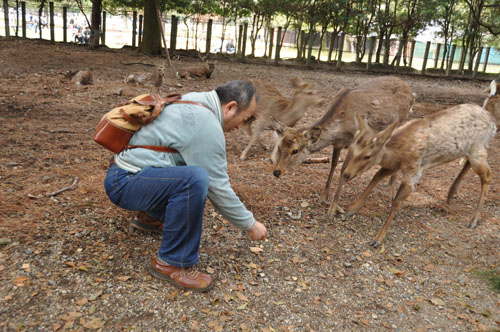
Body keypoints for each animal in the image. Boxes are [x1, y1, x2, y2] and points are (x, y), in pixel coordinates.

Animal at [274, 77, 414, 218]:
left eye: (295, 150)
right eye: (279, 147)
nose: (276, 172)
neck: (339, 128)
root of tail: (410, 91)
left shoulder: (353, 143)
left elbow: (343, 170)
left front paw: (332, 209)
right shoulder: (338, 144)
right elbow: (333, 165)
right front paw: (323, 197)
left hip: (402, 121)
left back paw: (392, 191)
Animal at [340, 103, 496, 246]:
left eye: (367, 156)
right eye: (351, 148)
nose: (346, 174)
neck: (398, 153)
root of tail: (493, 123)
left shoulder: (413, 170)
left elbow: (396, 202)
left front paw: (378, 237)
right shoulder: (395, 165)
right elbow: (376, 176)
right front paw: (351, 209)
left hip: (478, 147)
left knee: (488, 175)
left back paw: (474, 219)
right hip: (471, 150)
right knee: (469, 164)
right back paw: (451, 193)